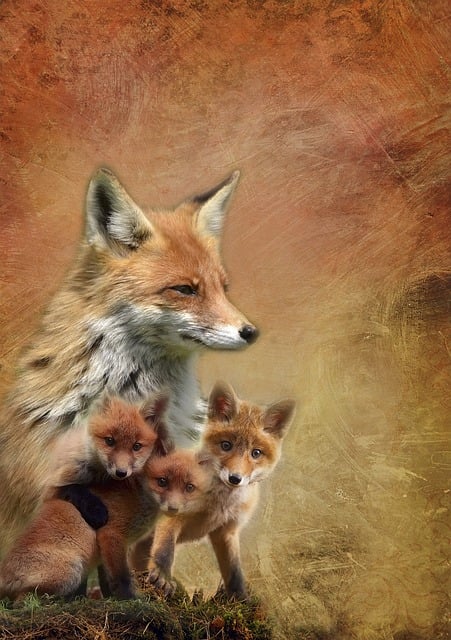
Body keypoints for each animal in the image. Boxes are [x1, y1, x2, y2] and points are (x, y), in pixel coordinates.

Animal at [0, 403, 213, 602]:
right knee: (22, 601)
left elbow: (107, 580)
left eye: (189, 487)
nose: (174, 508)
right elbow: (121, 577)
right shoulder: (111, 534)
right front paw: (131, 601)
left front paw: (111, 597)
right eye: (162, 481)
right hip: (71, 571)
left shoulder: (109, 547)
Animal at [146, 381, 296, 599]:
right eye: (226, 445)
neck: (218, 504)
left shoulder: (227, 531)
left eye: (256, 453)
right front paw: (163, 576)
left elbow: (234, 571)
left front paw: (240, 598)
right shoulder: (172, 513)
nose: (235, 478)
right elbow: (165, 550)